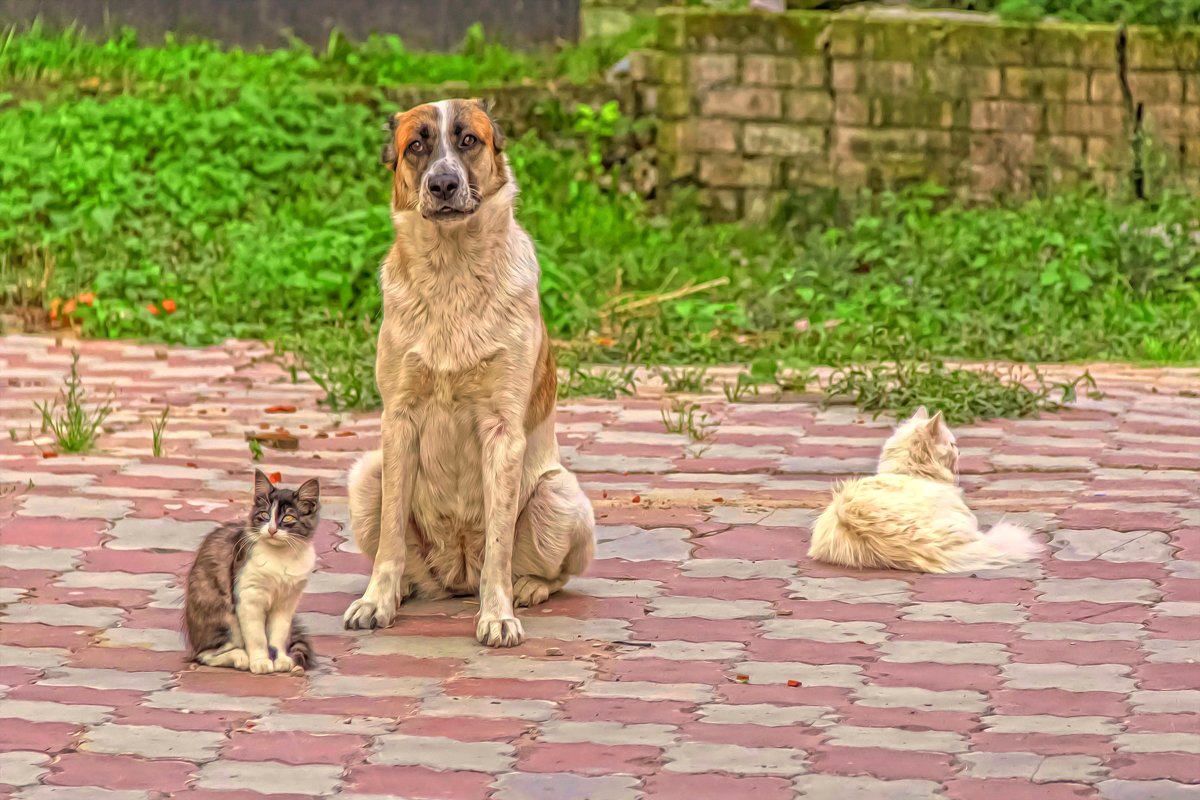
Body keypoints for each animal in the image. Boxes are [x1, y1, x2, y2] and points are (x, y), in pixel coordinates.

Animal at [184, 470, 321, 676]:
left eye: (288, 518)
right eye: (264, 515)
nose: (271, 530)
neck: (281, 557)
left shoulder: (286, 602)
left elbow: (278, 636)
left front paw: (280, 660)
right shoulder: (249, 596)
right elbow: (257, 637)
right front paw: (260, 661)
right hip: (224, 619)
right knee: (205, 654)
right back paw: (240, 657)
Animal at [343, 101, 595, 652]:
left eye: (468, 141)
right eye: (416, 145)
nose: (442, 184)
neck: (452, 268)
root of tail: (456, 573)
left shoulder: (501, 430)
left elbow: (500, 544)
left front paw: (497, 616)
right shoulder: (399, 420)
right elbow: (391, 537)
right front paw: (376, 602)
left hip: (560, 497)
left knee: (548, 573)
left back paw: (527, 588)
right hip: (367, 475)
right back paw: (404, 591)